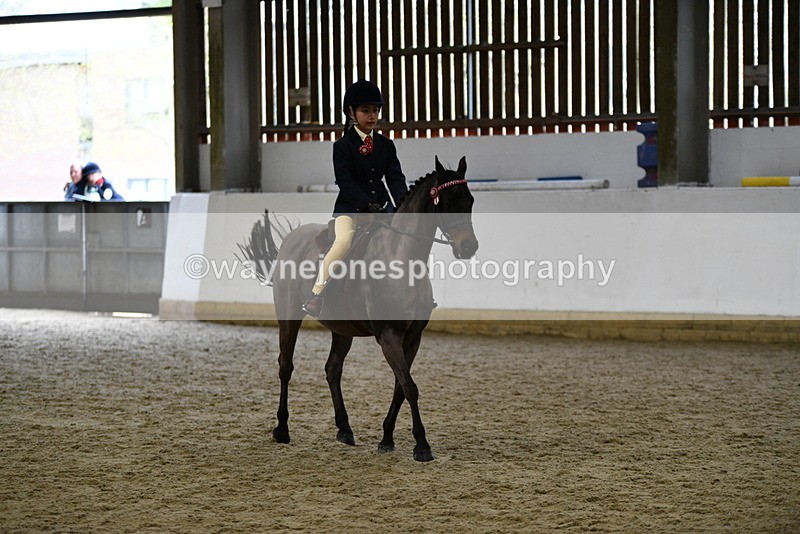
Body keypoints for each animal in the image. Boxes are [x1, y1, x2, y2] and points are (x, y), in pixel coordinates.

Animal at [245, 156, 478, 462]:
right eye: (448, 202)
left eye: (470, 200)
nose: (469, 247)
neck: (400, 259)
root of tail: (291, 239)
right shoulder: (388, 336)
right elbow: (410, 386)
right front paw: (421, 445)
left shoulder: (413, 338)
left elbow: (400, 387)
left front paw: (387, 438)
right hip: (289, 317)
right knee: (286, 367)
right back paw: (282, 429)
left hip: (342, 330)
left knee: (332, 370)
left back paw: (344, 430)